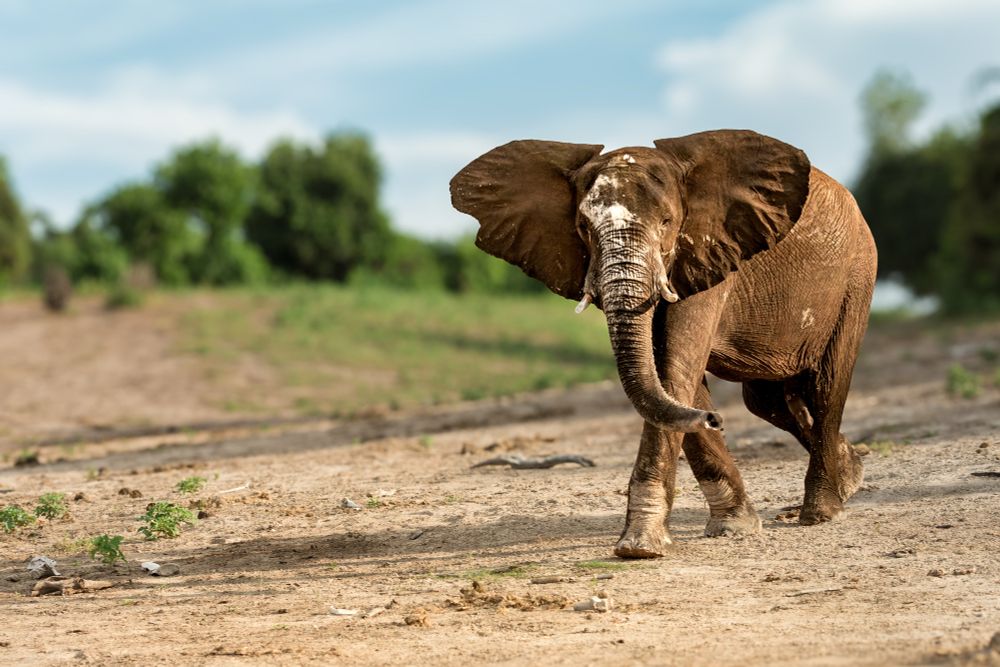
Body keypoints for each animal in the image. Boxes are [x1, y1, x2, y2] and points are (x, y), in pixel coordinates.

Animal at [450, 130, 877, 558]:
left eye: (668, 222)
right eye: (583, 227)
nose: (715, 419)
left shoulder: (710, 252)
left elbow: (675, 368)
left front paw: (639, 547)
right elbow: (673, 379)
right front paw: (733, 526)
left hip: (858, 273)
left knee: (825, 388)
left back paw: (822, 511)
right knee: (767, 403)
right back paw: (851, 474)